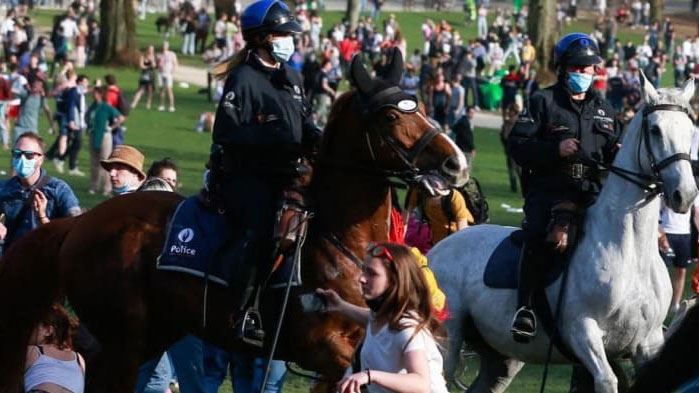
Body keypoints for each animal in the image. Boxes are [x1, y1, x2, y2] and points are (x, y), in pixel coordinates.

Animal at [0, 51, 470, 392]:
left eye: (421, 107)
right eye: (392, 116)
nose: (456, 164)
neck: (339, 242)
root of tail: (80, 224)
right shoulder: (323, 350)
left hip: (149, 333)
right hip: (121, 340)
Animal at [432, 76, 699, 392]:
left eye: (690, 130)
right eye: (655, 129)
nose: (685, 194)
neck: (630, 252)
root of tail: (435, 251)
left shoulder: (649, 344)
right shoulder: (582, 332)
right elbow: (607, 380)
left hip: (502, 360)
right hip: (445, 344)